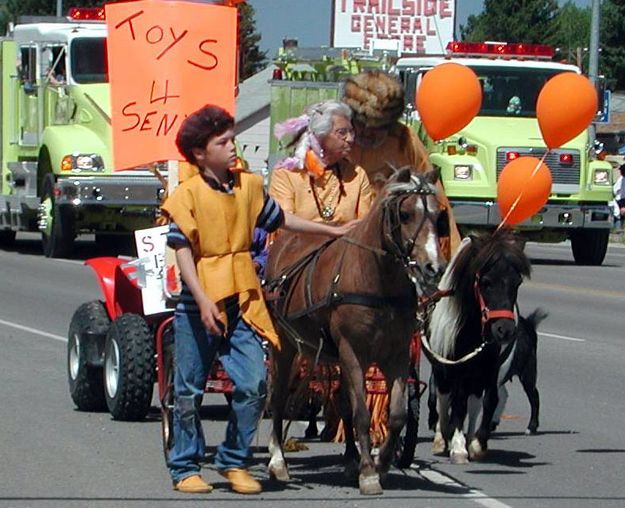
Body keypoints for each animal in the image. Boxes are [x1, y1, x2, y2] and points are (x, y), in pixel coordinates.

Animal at [264, 169, 444, 494]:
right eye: (405, 214)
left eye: (438, 216)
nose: (433, 267)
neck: (378, 282)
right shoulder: (352, 351)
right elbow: (361, 413)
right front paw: (369, 474)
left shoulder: (396, 355)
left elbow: (395, 414)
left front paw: (381, 462)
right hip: (284, 345)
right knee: (279, 397)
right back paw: (278, 460)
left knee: (342, 403)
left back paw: (350, 459)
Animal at [422, 230, 528, 464]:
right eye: (486, 282)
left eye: (517, 283)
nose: (504, 330)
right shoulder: (456, 369)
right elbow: (458, 404)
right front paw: (457, 446)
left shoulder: (489, 369)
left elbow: (488, 401)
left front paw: (477, 443)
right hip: (443, 371)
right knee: (443, 397)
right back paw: (442, 438)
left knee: (474, 402)